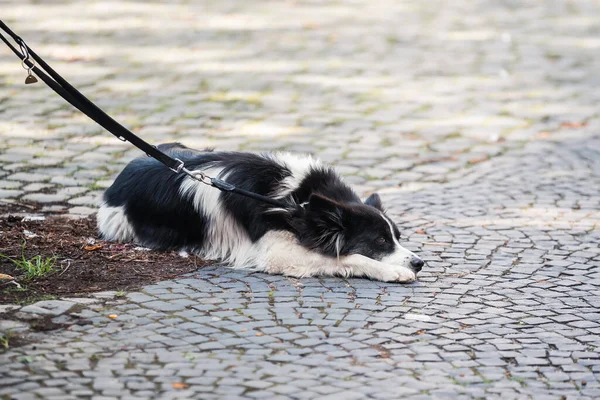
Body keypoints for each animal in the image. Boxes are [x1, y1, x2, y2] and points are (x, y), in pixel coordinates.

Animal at [98, 142, 424, 282]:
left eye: (396, 236)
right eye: (380, 241)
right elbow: (347, 257)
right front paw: (393, 271)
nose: (420, 263)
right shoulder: (275, 252)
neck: (297, 200)